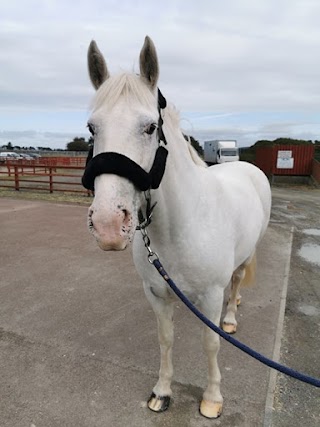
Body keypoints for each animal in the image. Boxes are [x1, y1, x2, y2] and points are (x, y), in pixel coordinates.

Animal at [84, 36, 272, 418]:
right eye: (92, 128)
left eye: (149, 127)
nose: (108, 225)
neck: (181, 227)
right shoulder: (156, 293)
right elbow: (165, 339)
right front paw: (162, 391)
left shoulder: (211, 296)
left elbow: (211, 342)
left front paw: (212, 398)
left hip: (246, 256)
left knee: (236, 280)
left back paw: (232, 316)